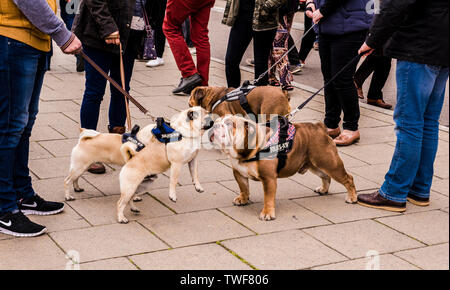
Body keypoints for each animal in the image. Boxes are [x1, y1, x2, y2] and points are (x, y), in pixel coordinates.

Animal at [208, 115, 358, 220]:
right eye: (218, 120)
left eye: (229, 124)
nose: (214, 124)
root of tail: (320, 127)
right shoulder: (238, 173)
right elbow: (244, 187)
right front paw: (243, 199)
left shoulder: (268, 179)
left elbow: (268, 198)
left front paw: (267, 213)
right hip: (315, 165)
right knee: (326, 176)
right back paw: (323, 189)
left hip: (330, 163)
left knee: (348, 178)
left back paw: (352, 198)